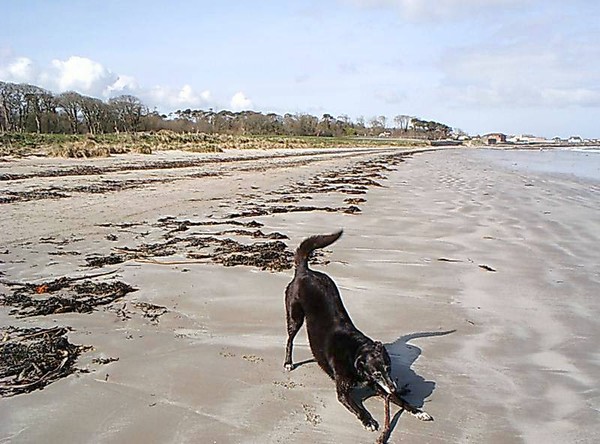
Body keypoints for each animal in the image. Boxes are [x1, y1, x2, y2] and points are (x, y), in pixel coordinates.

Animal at [284, 231, 432, 432]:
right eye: (377, 373)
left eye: (389, 368)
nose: (395, 388)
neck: (355, 353)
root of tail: (304, 271)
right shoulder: (344, 392)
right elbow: (358, 407)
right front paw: (369, 421)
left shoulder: (380, 386)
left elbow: (401, 401)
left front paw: (418, 411)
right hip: (295, 316)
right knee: (289, 340)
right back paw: (288, 362)